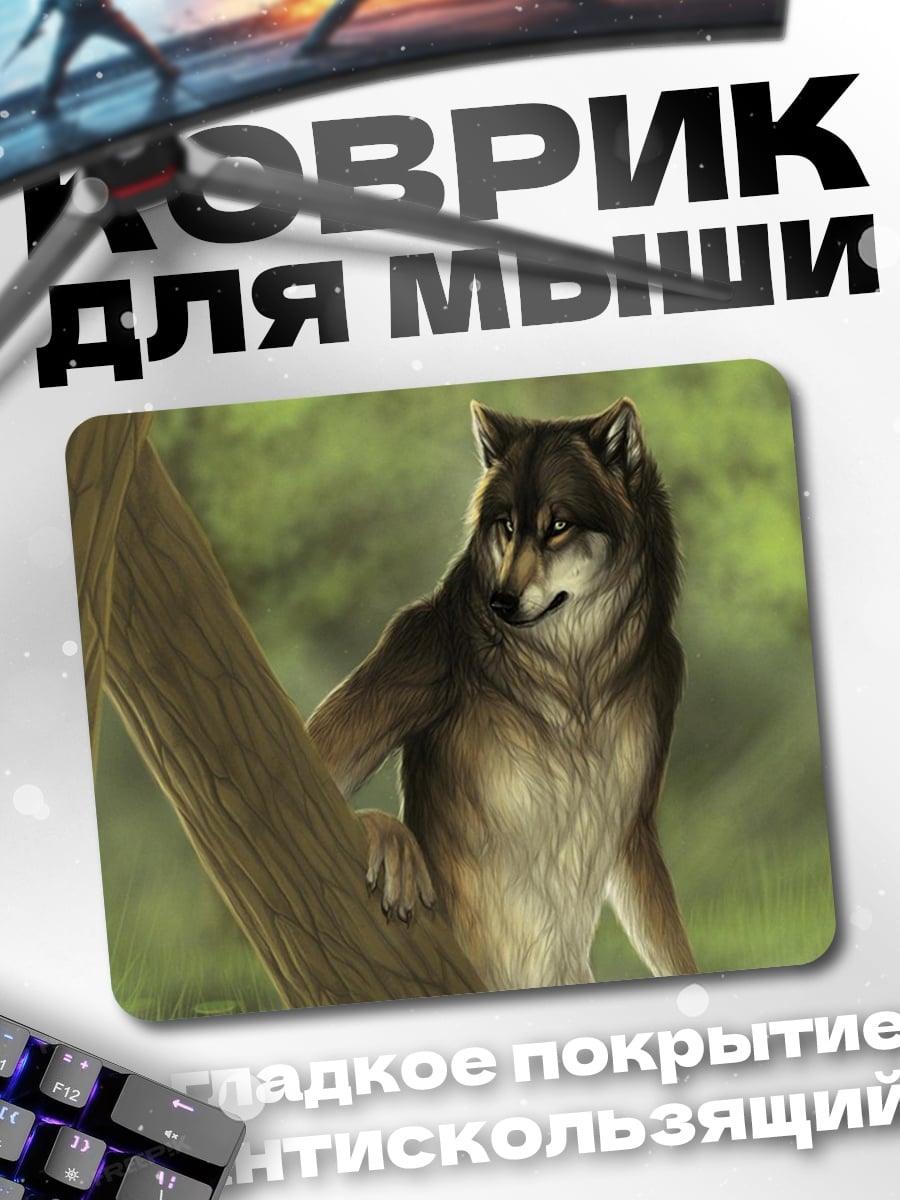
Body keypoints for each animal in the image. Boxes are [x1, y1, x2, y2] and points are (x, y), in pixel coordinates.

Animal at [307, 398, 697, 990]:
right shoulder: (419, 646)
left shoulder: (635, 818)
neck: (575, 680)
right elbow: (315, 759)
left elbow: (669, 942)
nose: (500, 601)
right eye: (508, 525)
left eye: (558, 525)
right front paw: (387, 835)